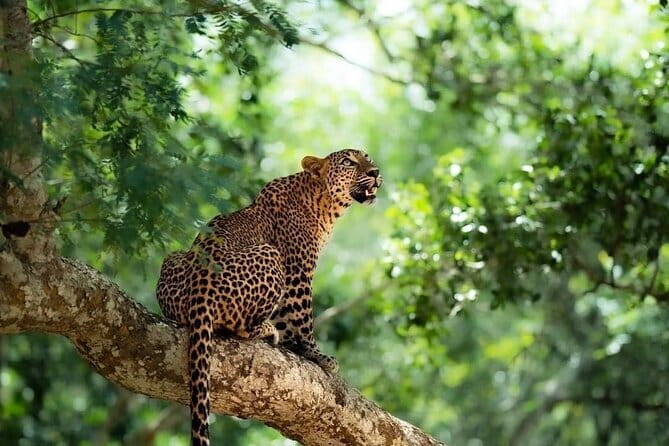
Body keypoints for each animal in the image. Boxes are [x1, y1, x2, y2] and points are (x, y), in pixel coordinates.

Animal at [155, 148, 382, 446]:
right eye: (348, 162)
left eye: (368, 158)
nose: (375, 172)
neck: (324, 203)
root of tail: (200, 286)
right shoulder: (299, 271)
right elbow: (303, 319)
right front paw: (317, 356)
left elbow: (288, 319)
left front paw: (292, 346)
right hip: (270, 255)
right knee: (241, 329)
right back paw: (266, 330)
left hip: (173, 258)